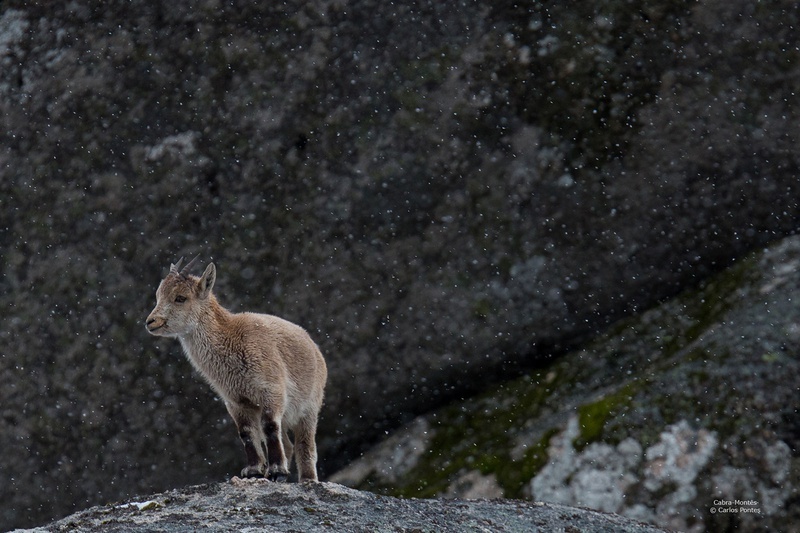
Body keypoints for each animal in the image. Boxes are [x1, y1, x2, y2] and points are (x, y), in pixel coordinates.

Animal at [145, 256, 327, 482]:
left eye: (180, 298)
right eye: (158, 295)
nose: (151, 322)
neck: (232, 339)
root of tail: (314, 347)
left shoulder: (272, 390)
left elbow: (269, 427)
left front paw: (277, 470)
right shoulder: (236, 401)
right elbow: (246, 433)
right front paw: (254, 470)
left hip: (309, 407)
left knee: (305, 445)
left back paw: (308, 479)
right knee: (288, 444)